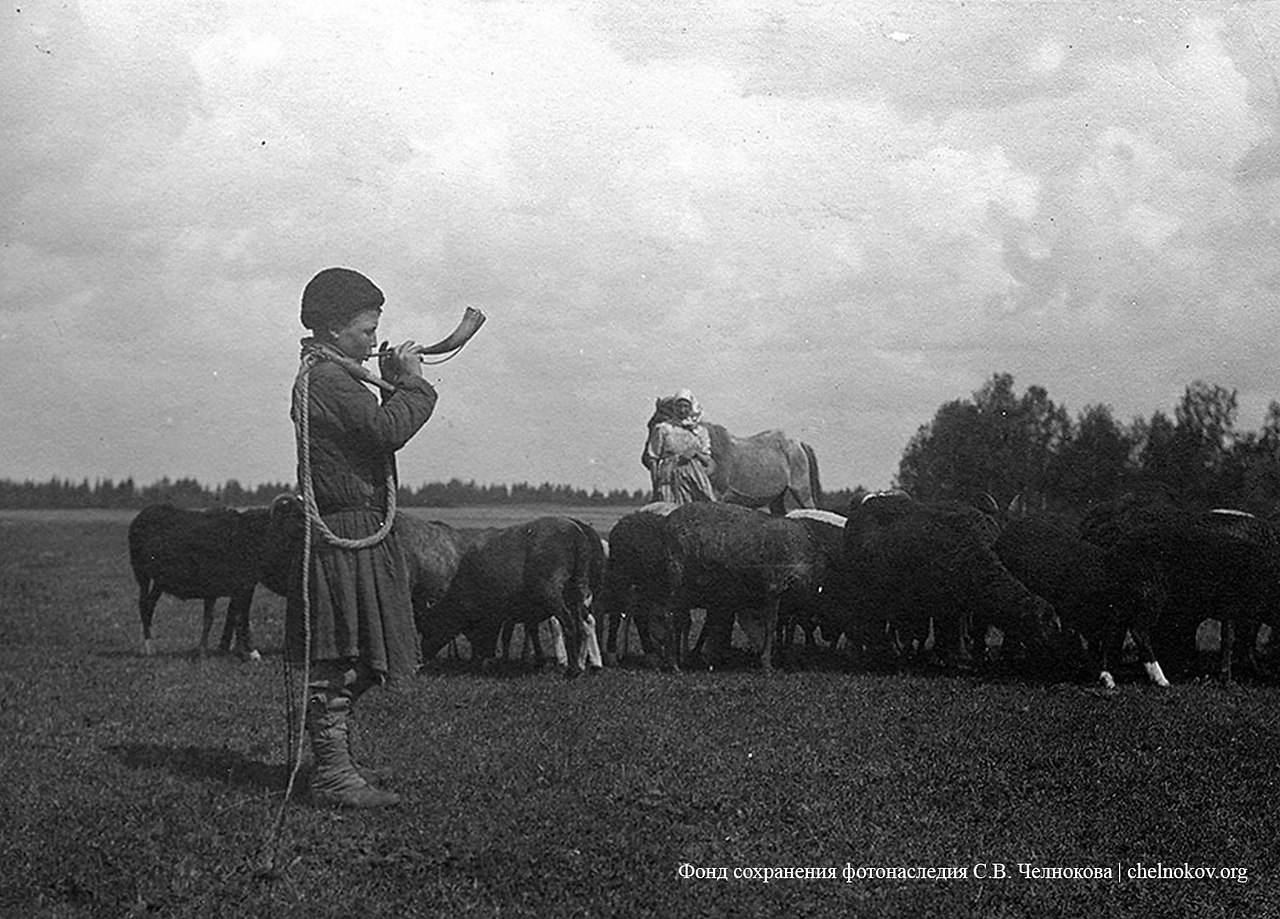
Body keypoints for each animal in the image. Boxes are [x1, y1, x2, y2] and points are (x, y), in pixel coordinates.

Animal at [126, 504, 288, 660]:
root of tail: (141, 515)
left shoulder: (224, 589)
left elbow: (211, 619)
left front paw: (205, 651)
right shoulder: (240, 587)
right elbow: (238, 618)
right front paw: (251, 652)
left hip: (159, 582)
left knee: (150, 605)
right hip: (141, 573)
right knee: (143, 605)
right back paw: (149, 648)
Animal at [414, 517, 604, 675]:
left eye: (428, 627)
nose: (422, 657)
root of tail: (576, 535)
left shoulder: (495, 613)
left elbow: (492, 636)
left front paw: (484, 661)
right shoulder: (525, 610)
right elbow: (531, 631)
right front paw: (538, 661)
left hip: (552, 594)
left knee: (569, 626)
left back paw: (573, 670)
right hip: (577, 590)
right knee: (583, 625)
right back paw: (582, 664)